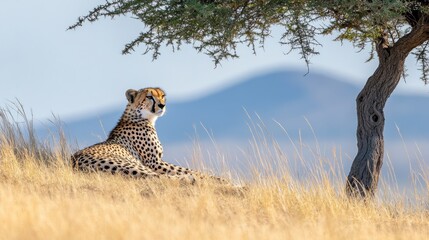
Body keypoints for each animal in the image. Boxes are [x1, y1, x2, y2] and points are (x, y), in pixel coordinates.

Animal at [72, 87, 227, 183]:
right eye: (149, 97)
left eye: (162, 96)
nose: (162, 105)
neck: (141, 117)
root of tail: (74, 162)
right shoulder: (154, 162)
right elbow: (187, 170)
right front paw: (215, 179)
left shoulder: (156, 162)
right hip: (134, 165)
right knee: (158, 178)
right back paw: (190, 179)